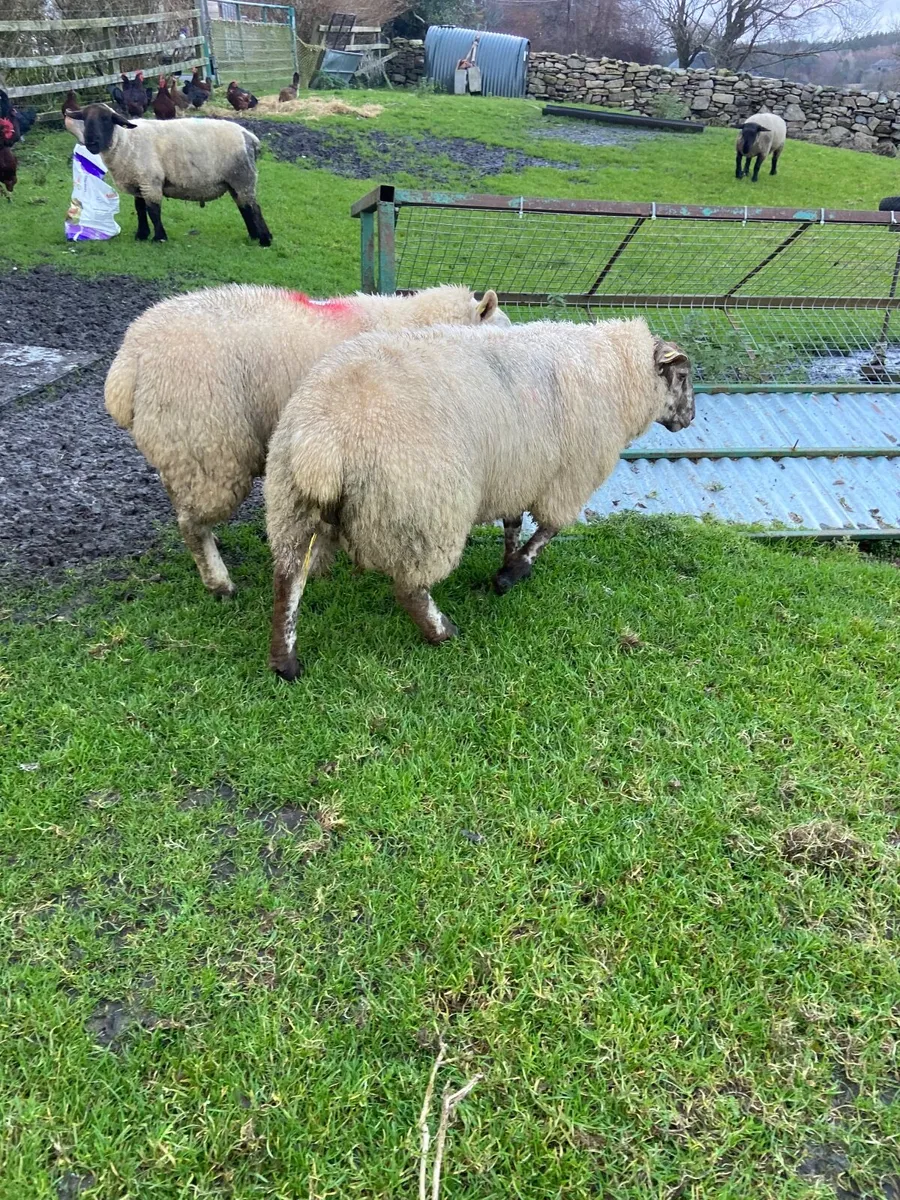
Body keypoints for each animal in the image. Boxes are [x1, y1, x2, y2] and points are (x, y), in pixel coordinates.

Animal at [63, 102, 271, 245]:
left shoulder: (150, 180)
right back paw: (253, 236)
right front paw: (142, 235)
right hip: (235, 180)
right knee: (245, 207)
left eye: (106, 119)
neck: (124, 141)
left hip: (243, 176)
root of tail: (249, 137)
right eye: (85, 119)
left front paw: (159, 237)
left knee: (254, 207)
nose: (91, 142)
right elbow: (140, 209)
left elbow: (153, 210)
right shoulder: (139, 181)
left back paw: (265, 240)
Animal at [104, 283, 510, 597]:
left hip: (182, 450)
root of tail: (129, 359)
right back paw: (219, 582)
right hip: (209, 445)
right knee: (192, 525)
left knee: (184, 508)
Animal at [263, 316, 694, 681]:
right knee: (409, 589)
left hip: (291, 502)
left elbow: (513, 524)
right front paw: (511, 574)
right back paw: (443, 632)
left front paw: (509, 561)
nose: (690, 419)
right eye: (684, 376)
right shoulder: (568, 479)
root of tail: (323, 438)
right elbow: (547, 531)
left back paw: (286, 663)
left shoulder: (517, 473)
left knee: (289, 580)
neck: (617, 375)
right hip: (424, 509)